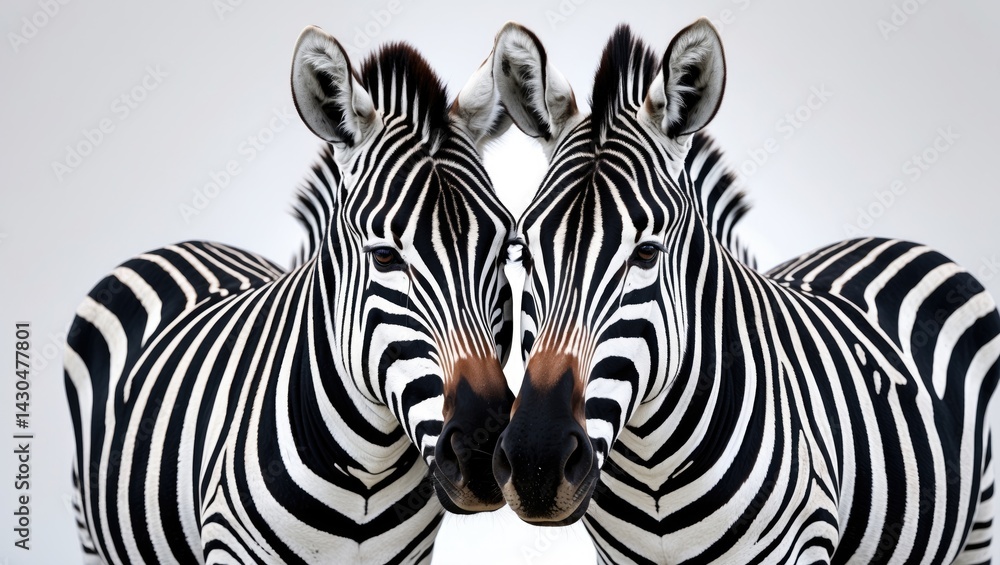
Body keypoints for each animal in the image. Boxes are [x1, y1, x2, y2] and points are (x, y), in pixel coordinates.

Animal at [489, 19, 1000, 564]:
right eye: (523, 254)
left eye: (646, 254)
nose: (535, 464)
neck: (651, 471)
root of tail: (887, 240)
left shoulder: (805, 541)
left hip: (981, 523)